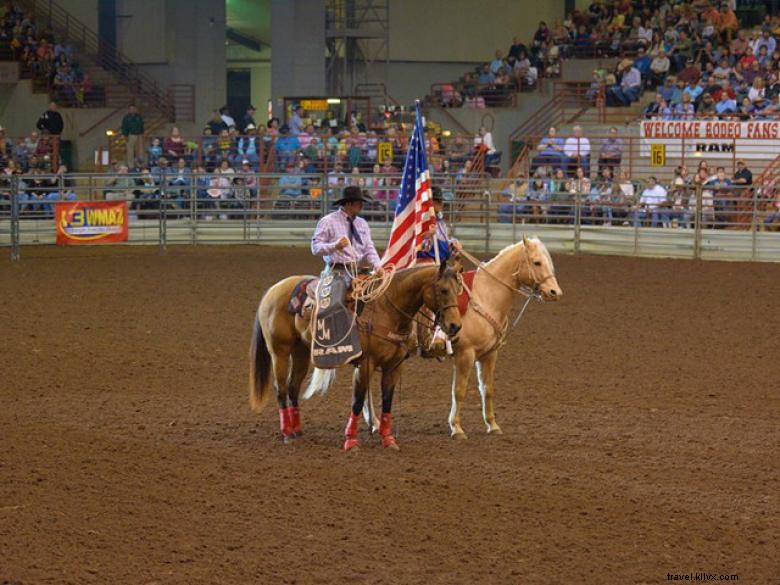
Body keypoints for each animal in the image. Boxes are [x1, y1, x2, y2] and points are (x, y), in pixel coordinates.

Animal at [248, 258, 464, 450]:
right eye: (443, 290)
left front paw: (388, 439)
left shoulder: (394, 365)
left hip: (301, 351)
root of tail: (273, 290)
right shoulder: (366, 363)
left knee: (293, 387)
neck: (387, 310)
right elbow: (358, 401)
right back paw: (286, 433)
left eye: (458, 290)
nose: (455, 326)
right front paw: (350, 440)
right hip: (280, 351)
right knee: (281, 388)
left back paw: (297, 431)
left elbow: (387, 401)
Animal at [444, 236, 560, 438]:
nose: (555, 292)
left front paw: (492, 425)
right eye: (537, 262)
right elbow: (459, 391)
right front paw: (456, 427)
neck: (484, 297)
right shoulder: (465, 354)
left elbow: (487, 389)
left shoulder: (489, 354)